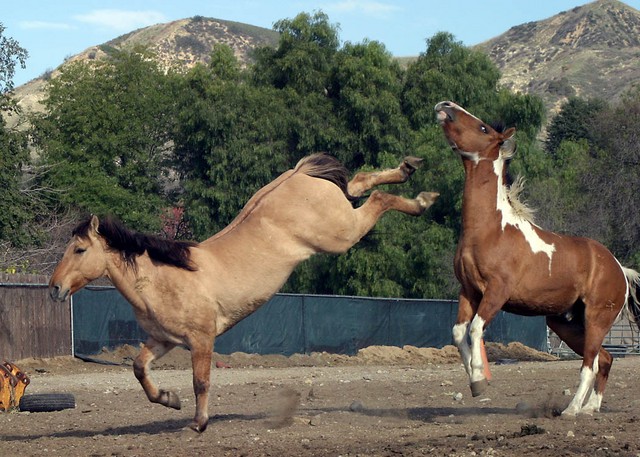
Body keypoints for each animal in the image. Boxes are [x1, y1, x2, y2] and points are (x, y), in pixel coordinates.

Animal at [49, 153, 438, 432]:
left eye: (79, 250)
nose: (55, 289)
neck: (165, 278)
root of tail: (298, 175)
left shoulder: (201, 340)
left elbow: (201, 382)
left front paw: (198, 422)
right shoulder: (163, 341)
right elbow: (139, 369)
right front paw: (169, 399)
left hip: (341, 235)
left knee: (378, 198)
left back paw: (422, 199)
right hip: (341, 218)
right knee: (359, 183)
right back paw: (408, 169)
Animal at [434, 100, 640, 417]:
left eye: (483, 127)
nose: (446, 105)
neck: (491, 230)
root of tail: (620, 269)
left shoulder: (497, 291)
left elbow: (476, 328)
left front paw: (480, 376)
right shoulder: (468, 291)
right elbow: (459, 332)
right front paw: (474, 382)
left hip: (597, 319)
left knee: (589, 365)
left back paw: (571, 410)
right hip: (565, 324)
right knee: (604, 359)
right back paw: (590, 408)